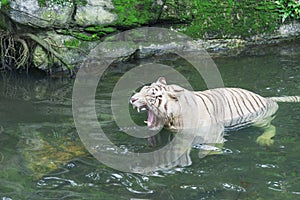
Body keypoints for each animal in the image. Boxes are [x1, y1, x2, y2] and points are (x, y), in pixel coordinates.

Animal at [129, 77, 300, 147]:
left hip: (259, 119)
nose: (132, 99)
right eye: (142, 89)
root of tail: (265, 98)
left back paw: (264, 140)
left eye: (151, 95)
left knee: (271, 127)